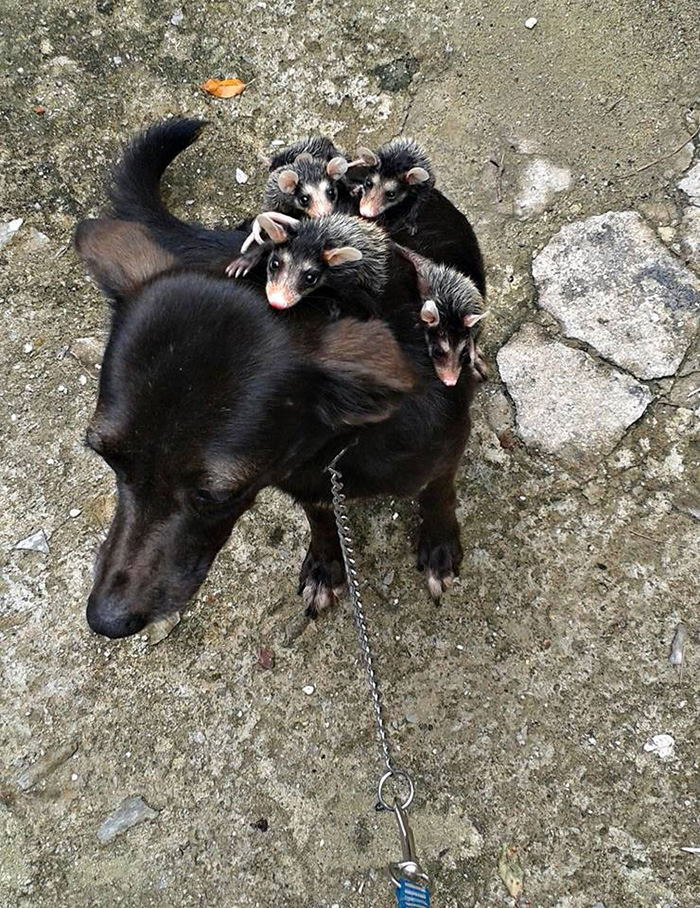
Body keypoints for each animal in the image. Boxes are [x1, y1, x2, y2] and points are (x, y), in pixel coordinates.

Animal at [75, 120, 482, 640]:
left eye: (217, 495)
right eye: (106, 457)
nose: (106, 619)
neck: (337, 446)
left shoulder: (446, 450)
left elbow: (438, 495)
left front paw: (438, 545)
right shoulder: (304, 484)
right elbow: (323, 522)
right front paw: (327, 566)